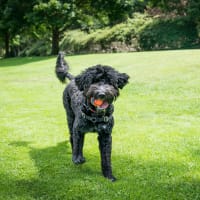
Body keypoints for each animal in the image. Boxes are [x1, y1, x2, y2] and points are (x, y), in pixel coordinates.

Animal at [55, 52, 129, 181]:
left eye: (109, 82)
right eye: (93, 81)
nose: (101, 94)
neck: (95, 114)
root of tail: (73, 79)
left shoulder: (106, 136)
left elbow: (106, 157)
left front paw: (108, 175)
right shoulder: (78, 129)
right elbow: (78, 144)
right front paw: (77, 158)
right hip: (70, 117)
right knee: (72, 138)